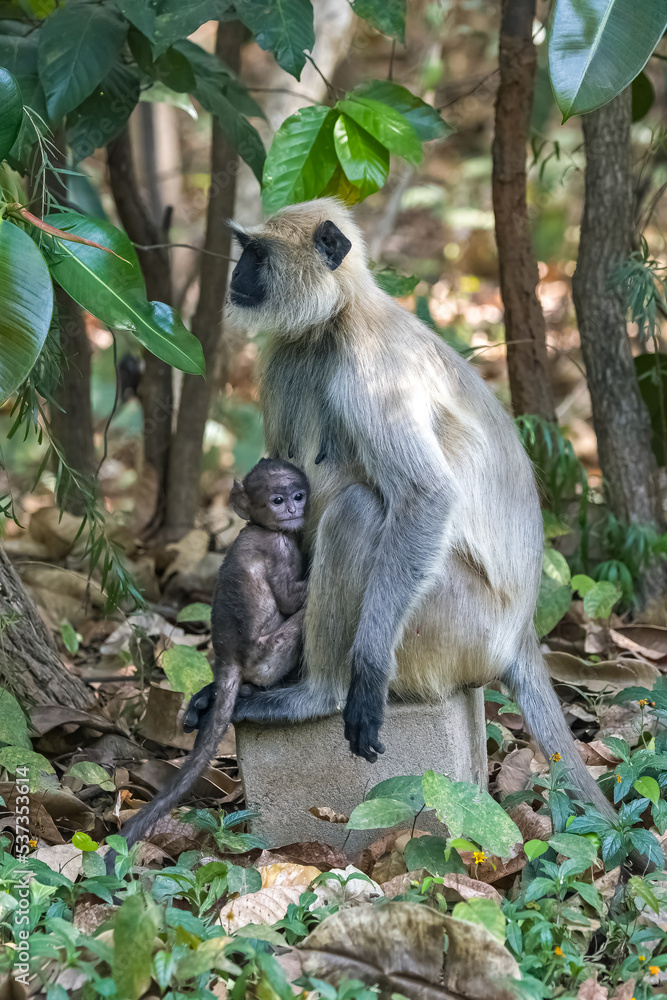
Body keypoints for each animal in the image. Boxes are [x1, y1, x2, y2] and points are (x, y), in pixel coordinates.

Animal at [106, 459, 309, 870]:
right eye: (277, 500)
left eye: (298, 494)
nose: (294, 508)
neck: (258, 527)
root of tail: (229, 659)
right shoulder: (279, 547)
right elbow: (291, 599)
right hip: (271, 655)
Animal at [183, 196, 641, 852]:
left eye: (256, 254)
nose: (237, 275)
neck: (337, 320)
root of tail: (518, 632)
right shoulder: (286, 355)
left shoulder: (372, 369)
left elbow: (425, 497)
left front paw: (366, 672)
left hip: (452, 627)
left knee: (360, 508)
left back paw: (317, 694)